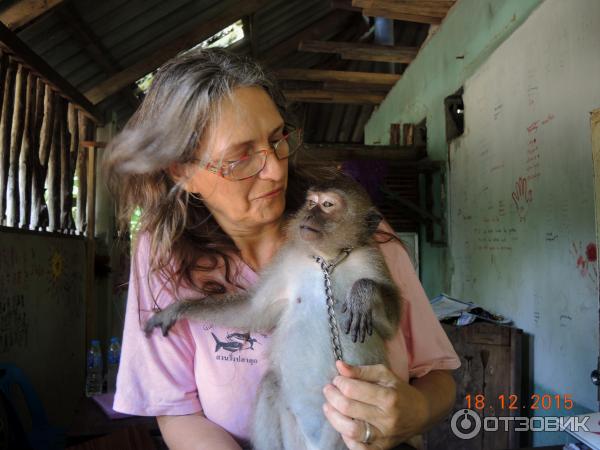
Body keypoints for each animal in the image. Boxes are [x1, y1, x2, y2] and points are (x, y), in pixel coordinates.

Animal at [143, 177, 400, 450]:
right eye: (311, 202)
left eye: (328, 205)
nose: (308, 214)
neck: (327, 262)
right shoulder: (287, 259)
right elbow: (252, 312)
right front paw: (176, 309)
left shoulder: (370, 257)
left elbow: (391, 323)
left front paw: (362, 294)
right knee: (271, 382)